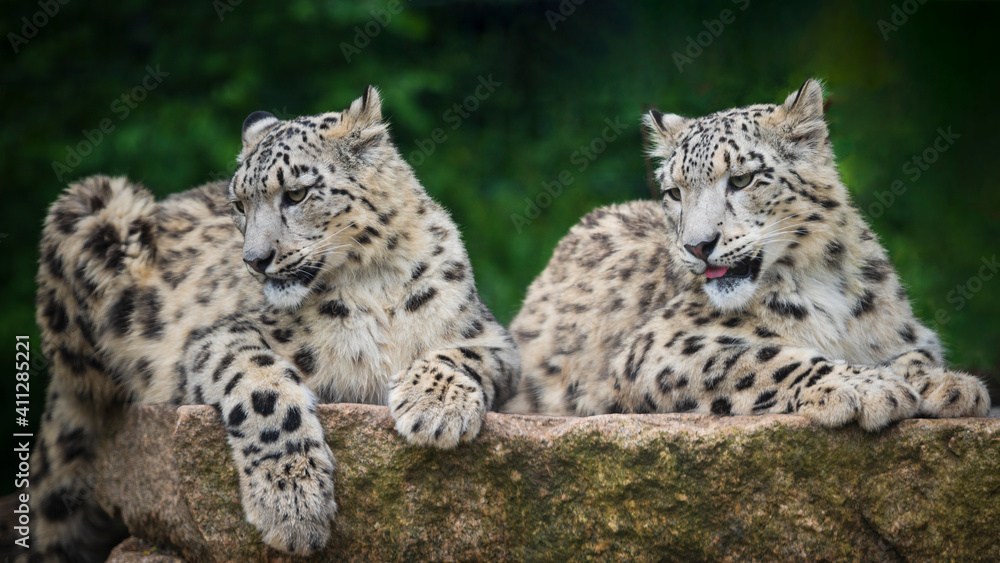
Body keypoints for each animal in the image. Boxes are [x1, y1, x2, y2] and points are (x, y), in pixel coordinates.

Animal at [28, 86, 520, 561]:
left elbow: (467, 353)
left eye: (297, 194)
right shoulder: (218, 339)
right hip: (93, 208)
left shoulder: (491, 335)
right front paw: (292, 503)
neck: (374, 286)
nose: (254, 259)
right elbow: (262, 390)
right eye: (239, 204)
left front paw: (436, 407)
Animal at [504, 79, 990, 429]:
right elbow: (759, 358)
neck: (821, 281)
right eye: (674, 192)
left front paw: (951, 385)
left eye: (741, 179)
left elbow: (916, 355)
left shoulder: (905, 332)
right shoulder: (657, 347)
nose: (698, 245)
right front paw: (867, 387)